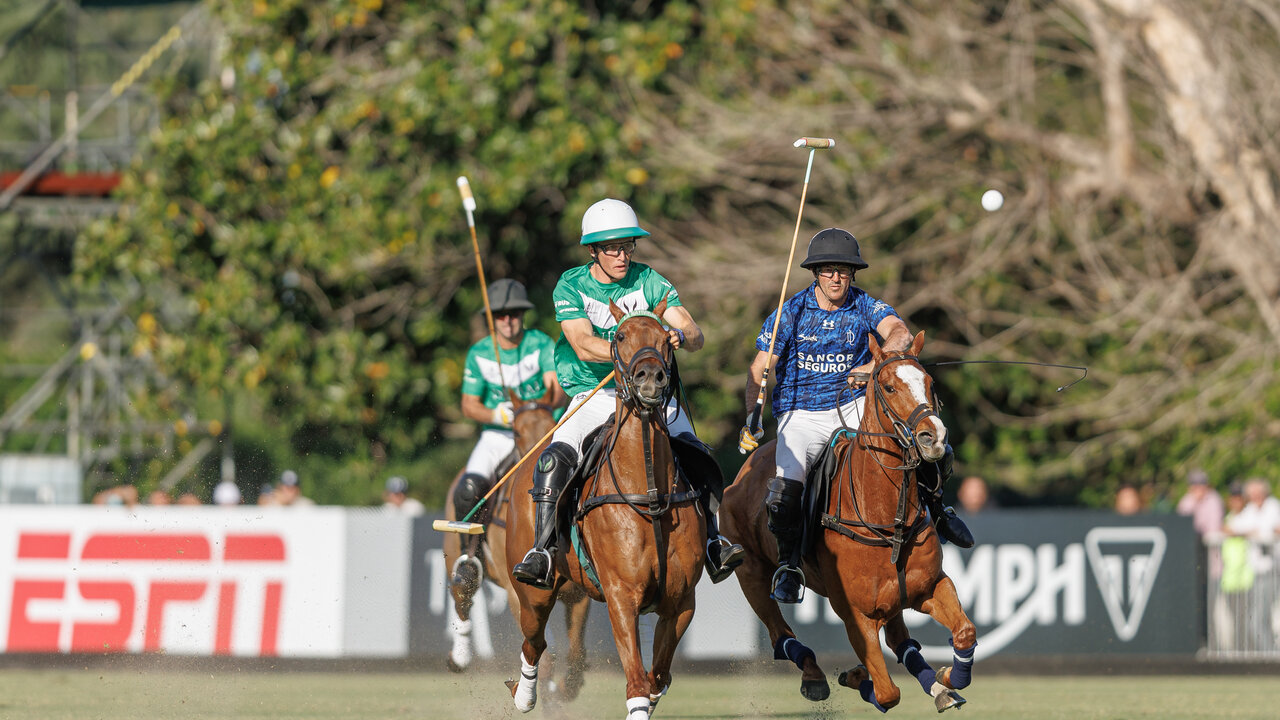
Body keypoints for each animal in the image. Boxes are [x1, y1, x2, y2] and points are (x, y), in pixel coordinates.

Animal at [442, 392, 591, 696]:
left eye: (551, 423)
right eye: (516, 432)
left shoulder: (578, 594)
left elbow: (576, 657)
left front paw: (562, 690)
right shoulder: (516, 592)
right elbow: (545, 659)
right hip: (455, 550)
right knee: (463, 589)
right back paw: (459, 656)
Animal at [504, 297, 706, 717]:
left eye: (665, 337)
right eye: (621, 336)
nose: (650, 378)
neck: (648, 491)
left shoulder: (681, 601)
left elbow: (656, 675)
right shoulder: (621, 596)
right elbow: (637, 682)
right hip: (533, 592)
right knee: (535, 642)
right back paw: (525, 694)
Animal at [727, 333, 972, 712]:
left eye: (930, 383)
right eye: (888, 387)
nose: (935, 438)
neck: (886, 519)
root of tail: (743, 472)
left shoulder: (931, 586)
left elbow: (964, 632)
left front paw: (948, 677)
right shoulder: (856, 614)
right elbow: (887, 693)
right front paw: (855, 677)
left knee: (903, 642)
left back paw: (938, 687)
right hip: (751, 574)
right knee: (779, 635)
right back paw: (814, 677)